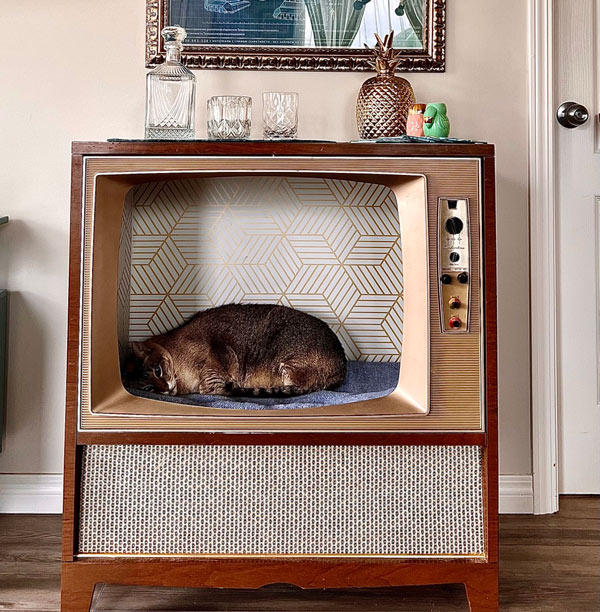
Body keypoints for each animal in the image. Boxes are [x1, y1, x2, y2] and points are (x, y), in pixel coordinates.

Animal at [126, 304, 346, 400]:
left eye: (158, 371)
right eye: (148, 389)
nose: (164, 388)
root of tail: (343, 365)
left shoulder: (220, 352)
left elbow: (212, 385)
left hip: (287, 364)